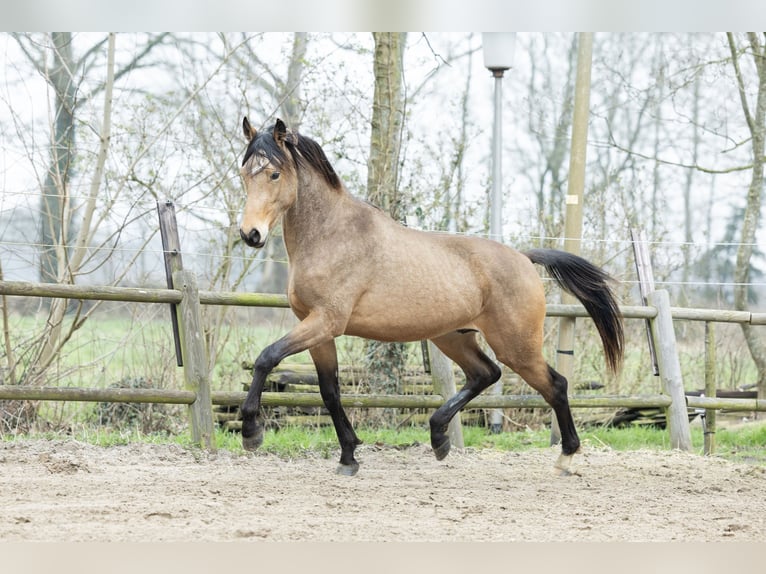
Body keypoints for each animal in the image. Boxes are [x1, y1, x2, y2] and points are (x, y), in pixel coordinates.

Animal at [237, 117, 624, 476]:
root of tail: (524, 259)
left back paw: (565, 457)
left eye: (273, 174)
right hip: (453, 337)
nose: (250, 234)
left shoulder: (325, 321)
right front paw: (349, 456)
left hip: (516, 345)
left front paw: (251, 431)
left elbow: (266, 357)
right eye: (243, 173)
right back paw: (439, 437)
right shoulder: (318, 329)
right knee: (486, 374)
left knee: (554, 385)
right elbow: (329, 392)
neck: (331, 236)